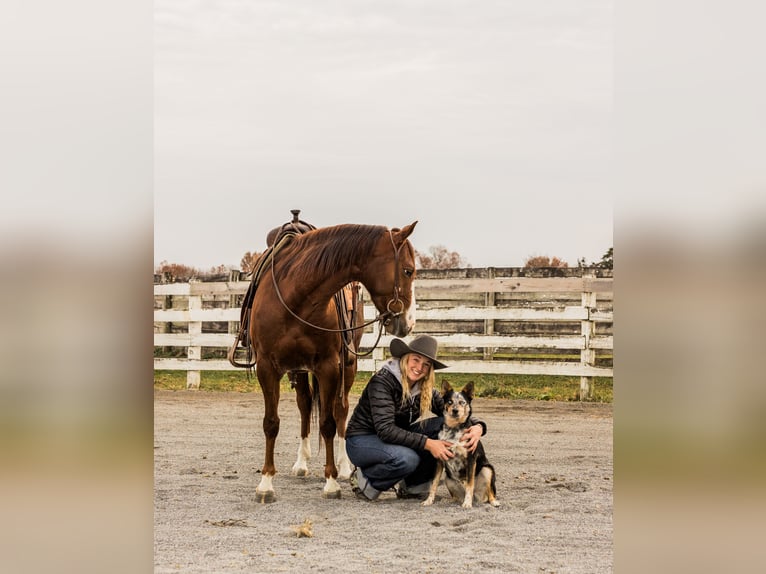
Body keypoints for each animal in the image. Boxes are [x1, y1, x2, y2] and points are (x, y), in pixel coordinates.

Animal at [248, 223, 420, 502]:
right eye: (408, 270)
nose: (408, 323)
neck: (296, 296)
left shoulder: (328, 366)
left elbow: (328, 423)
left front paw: (331, 482)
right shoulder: (267, 367)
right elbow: (271, 423)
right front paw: (265, 483)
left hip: (347, 366)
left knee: (341, 409)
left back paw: (344, 466)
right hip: (299, 370)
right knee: (305, 405)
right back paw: (301, 463)